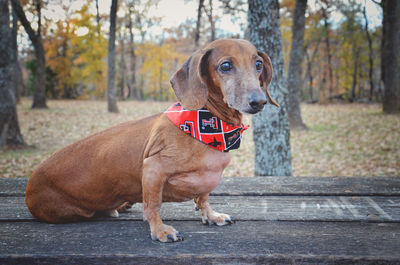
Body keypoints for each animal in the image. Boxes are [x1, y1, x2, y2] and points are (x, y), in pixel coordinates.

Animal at [25, 38, 280, 242]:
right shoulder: (153, 168)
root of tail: (29, 187)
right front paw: (160, 231)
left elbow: (203, 197)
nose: (259, 101)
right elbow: (152, 205)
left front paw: (211, 215)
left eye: (258, 64)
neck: (208, 126)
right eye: (225, 65)